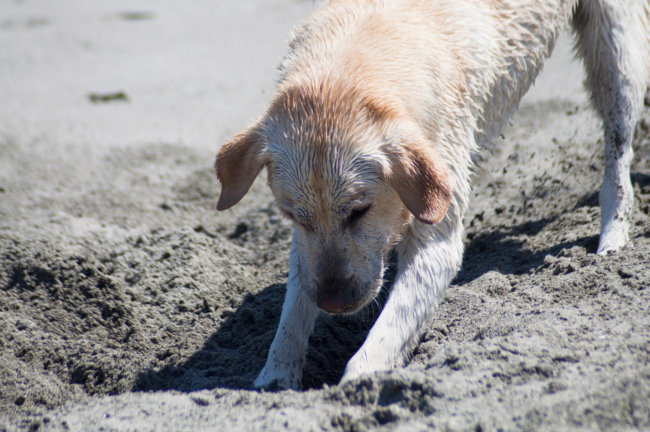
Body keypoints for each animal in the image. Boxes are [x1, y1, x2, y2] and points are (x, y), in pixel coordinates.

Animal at [211, 0, 644, 390]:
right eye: (294, 216)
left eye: (359, 211)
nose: (333, 304)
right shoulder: (308, 249)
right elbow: (295, 305)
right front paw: (276, 372)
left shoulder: (437, 235)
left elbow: (390, 325)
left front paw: (361, 380)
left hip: (616, 52)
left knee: (618, 150)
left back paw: (613, 233)